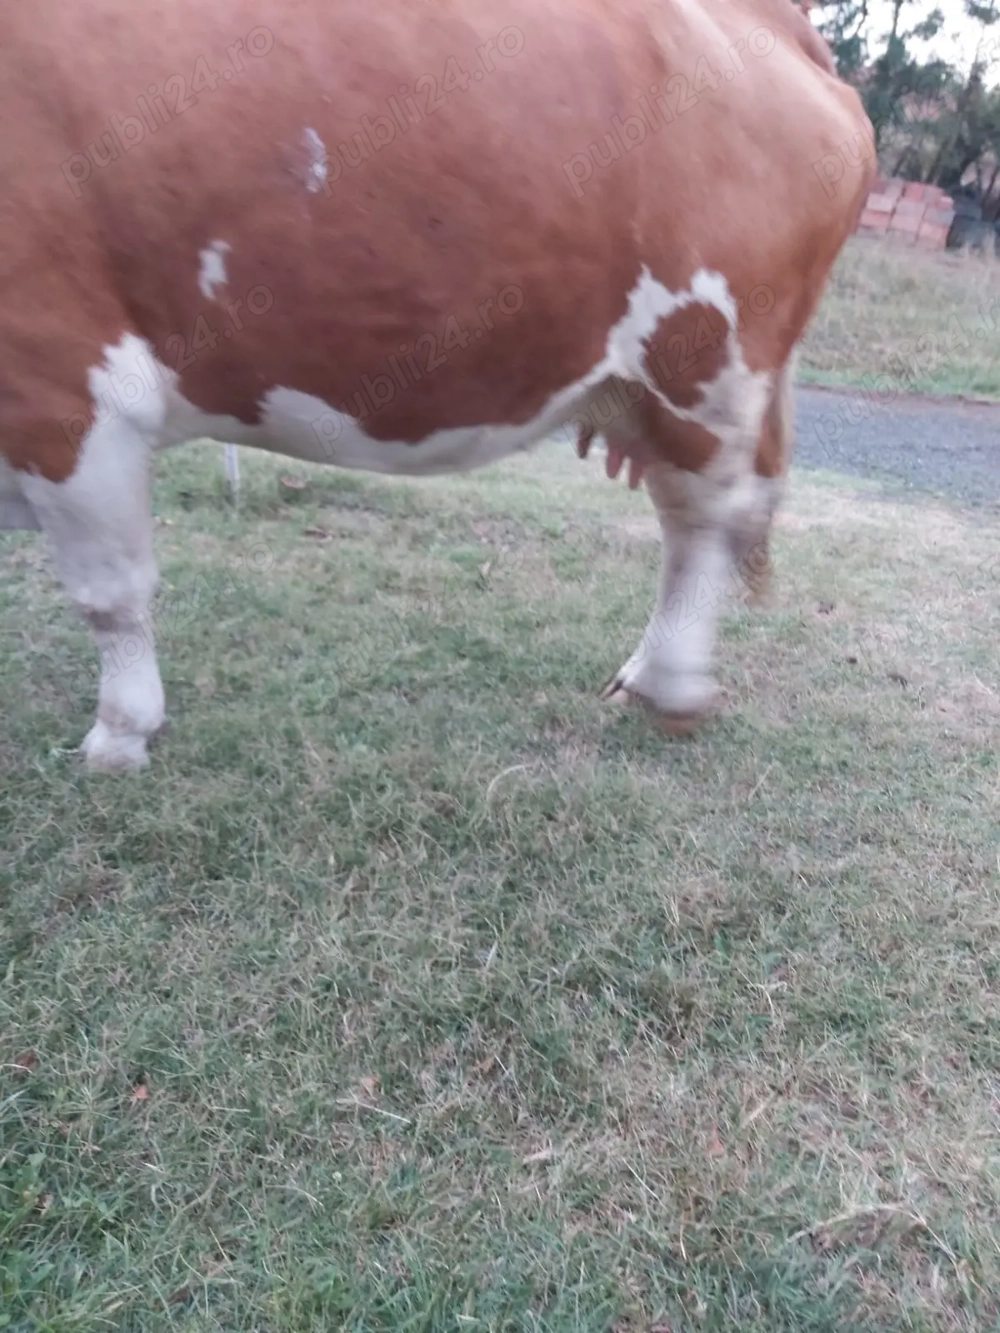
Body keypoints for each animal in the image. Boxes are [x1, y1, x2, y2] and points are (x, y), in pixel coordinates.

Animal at [0, 0, 874, 772]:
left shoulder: (62, 385)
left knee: (703, 520)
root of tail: (781, 22)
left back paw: (672, 685)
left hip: (708, 360)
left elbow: (110, 591)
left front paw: (119, 735)